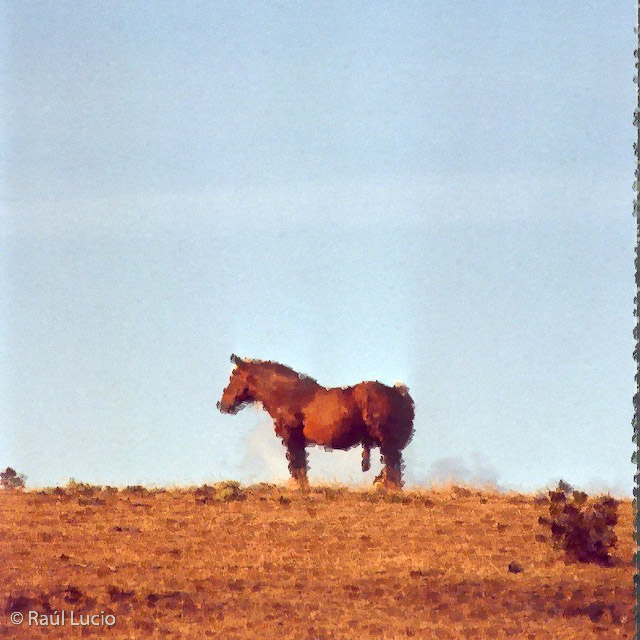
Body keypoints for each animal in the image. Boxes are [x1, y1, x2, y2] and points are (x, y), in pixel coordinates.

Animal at [217, 355, 415, 489]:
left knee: (393, 467)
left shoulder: (292, 438)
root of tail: (397, 392)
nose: (223, 404)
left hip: (387, 442)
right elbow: (300, 464)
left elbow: (296, 464)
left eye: (233, 376)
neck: (288, 394)